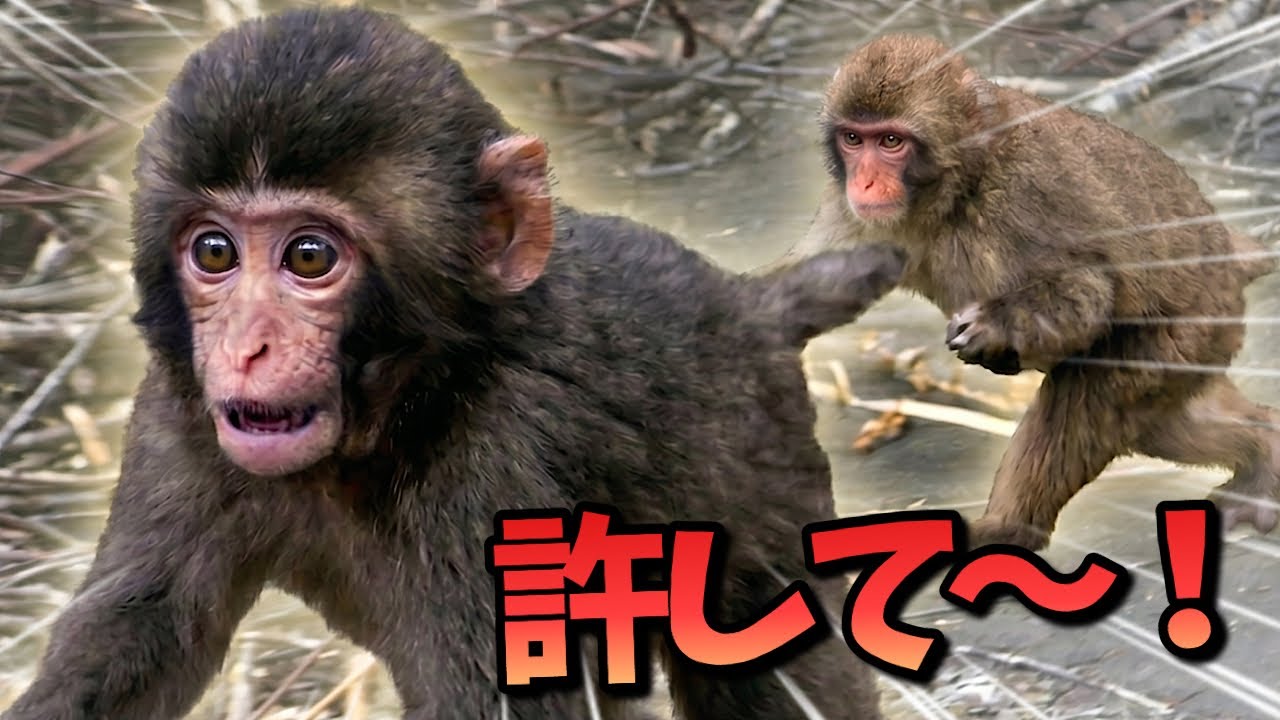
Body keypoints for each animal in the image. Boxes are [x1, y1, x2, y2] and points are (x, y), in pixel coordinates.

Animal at [1, 8, 906, 720]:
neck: (402, 405)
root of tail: (747, 303)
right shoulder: (176, 409)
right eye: (215, 251)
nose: (246, 345)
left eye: (309, 256)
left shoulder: (497, 464)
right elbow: (138, 634)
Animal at [787, 34, 1279, 552]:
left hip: (1190, 327)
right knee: (1167, 424)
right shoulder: (849, 212)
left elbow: (1089, 291)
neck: (960, 181)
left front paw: (993, 327)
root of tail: (1227, 248)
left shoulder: (1021, 199)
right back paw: (1265, 442)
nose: (863, 182)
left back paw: (1007, 530)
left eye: (891, 141)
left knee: (1089, 399)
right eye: (853, 139)